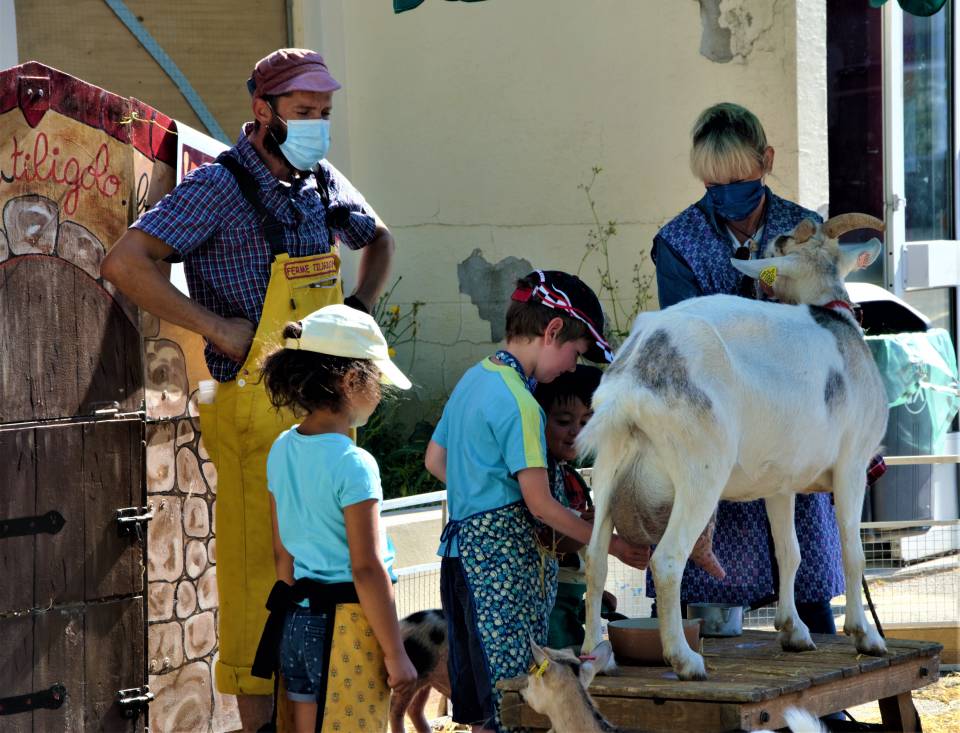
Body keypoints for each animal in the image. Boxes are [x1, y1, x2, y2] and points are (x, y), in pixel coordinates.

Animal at [576, 213, 884, 680]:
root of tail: (636, 376)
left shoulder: (781, 484)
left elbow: (789, 553)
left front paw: (794, 632)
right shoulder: (851, 466)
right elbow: (854, 554)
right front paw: (866, 637)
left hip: (609, 466)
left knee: (594, 560)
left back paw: (597, 654)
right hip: (699, 472)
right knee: (667, 561)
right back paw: (685, 660)